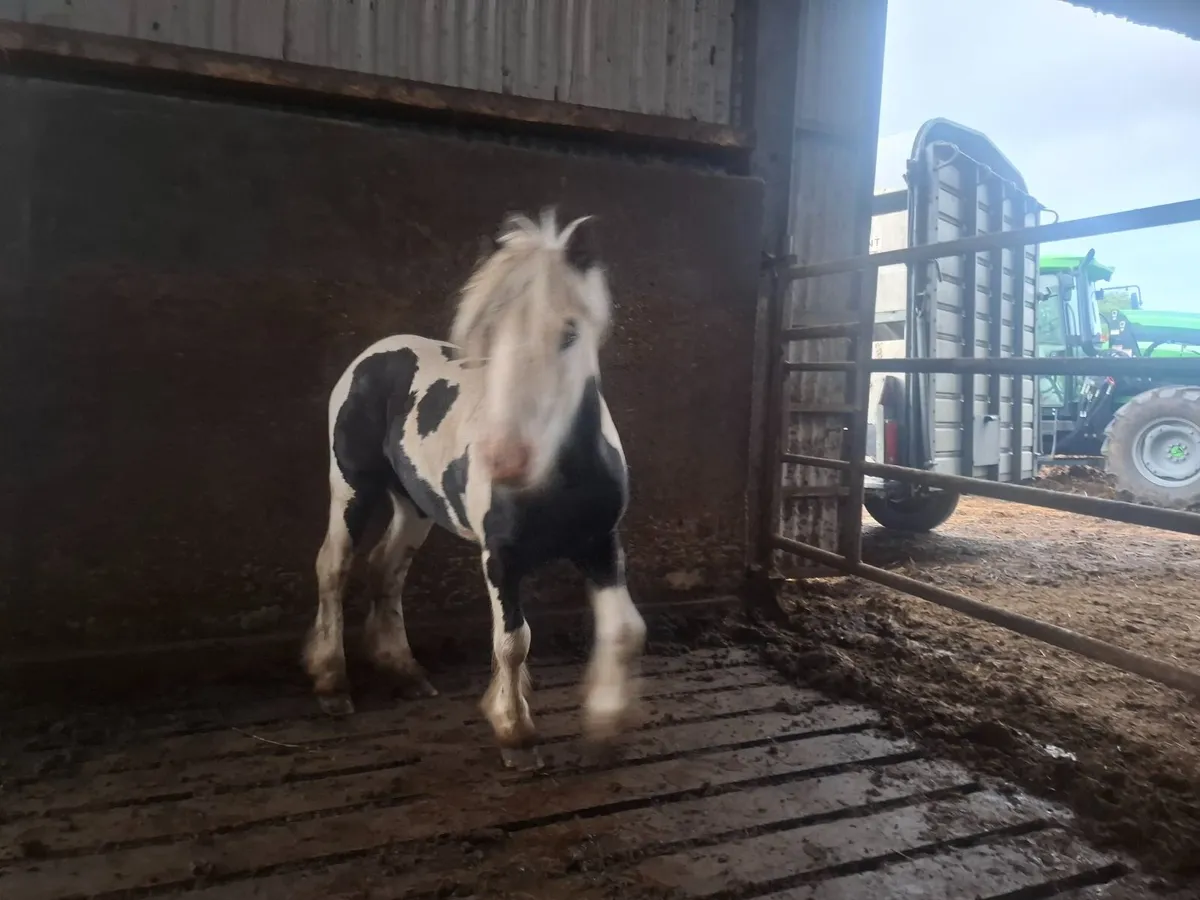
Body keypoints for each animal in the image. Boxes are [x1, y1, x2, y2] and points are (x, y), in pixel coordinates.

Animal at [304, 209, 647, 767]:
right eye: (489, 335)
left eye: (569, 333)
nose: (505, 459)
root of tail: (374, 353)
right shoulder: (500, 558)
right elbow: (513, 642)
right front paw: (516, 734)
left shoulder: (600, 545)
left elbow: (624, 630)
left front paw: (605, 723)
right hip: (352, 488)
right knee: (334, 567)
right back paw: (333, 685)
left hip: (414, 506)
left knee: (386, 567)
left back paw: (406, 671)